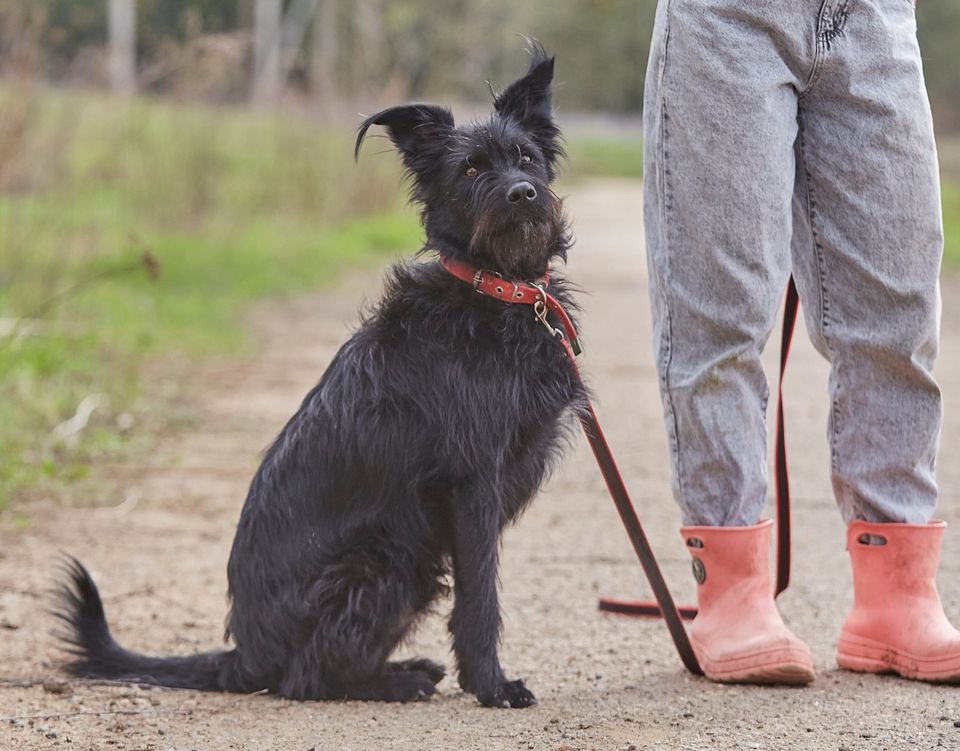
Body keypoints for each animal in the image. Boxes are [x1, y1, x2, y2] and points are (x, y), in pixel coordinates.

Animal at [58, 42, 584, 712]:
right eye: (469, 171)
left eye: (527, 158)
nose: (522, 194)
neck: (494, 290)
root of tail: (243, 656)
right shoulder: (472, 487)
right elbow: (480, 601)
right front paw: (491, 686)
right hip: (390, 554)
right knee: (305, 679)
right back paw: (397, 681)